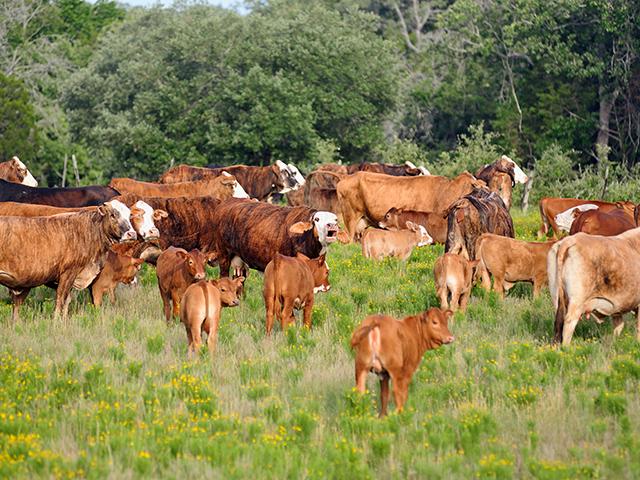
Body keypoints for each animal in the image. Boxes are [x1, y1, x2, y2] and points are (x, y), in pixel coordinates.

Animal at [0, 201, 135, 321]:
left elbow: (67, 300)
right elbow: (61, 299)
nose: (132, 234)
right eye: (113, 215)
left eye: (129, 215)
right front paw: (56, 322)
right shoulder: (68, 272)